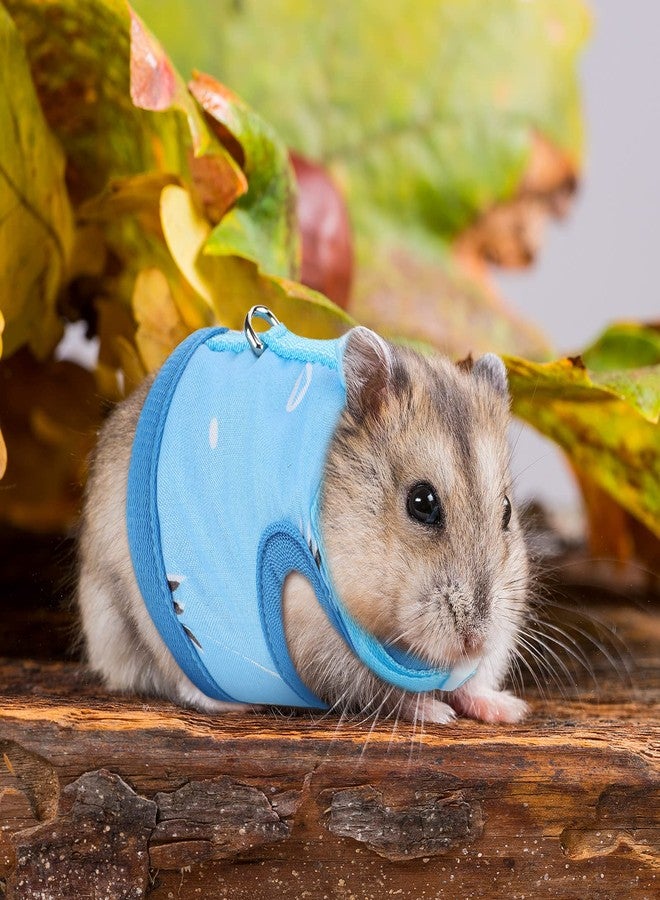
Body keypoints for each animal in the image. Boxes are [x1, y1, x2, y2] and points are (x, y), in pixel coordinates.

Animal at [77, 326, 529, 725]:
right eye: (422, 503)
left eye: (507, 510)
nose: (475, 642)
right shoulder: (317, 643)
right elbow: (382, 690)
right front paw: (437, 713)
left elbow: (468, 681)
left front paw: (510, 709)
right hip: (139, 613)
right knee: (179, 679)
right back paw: (234, 704)